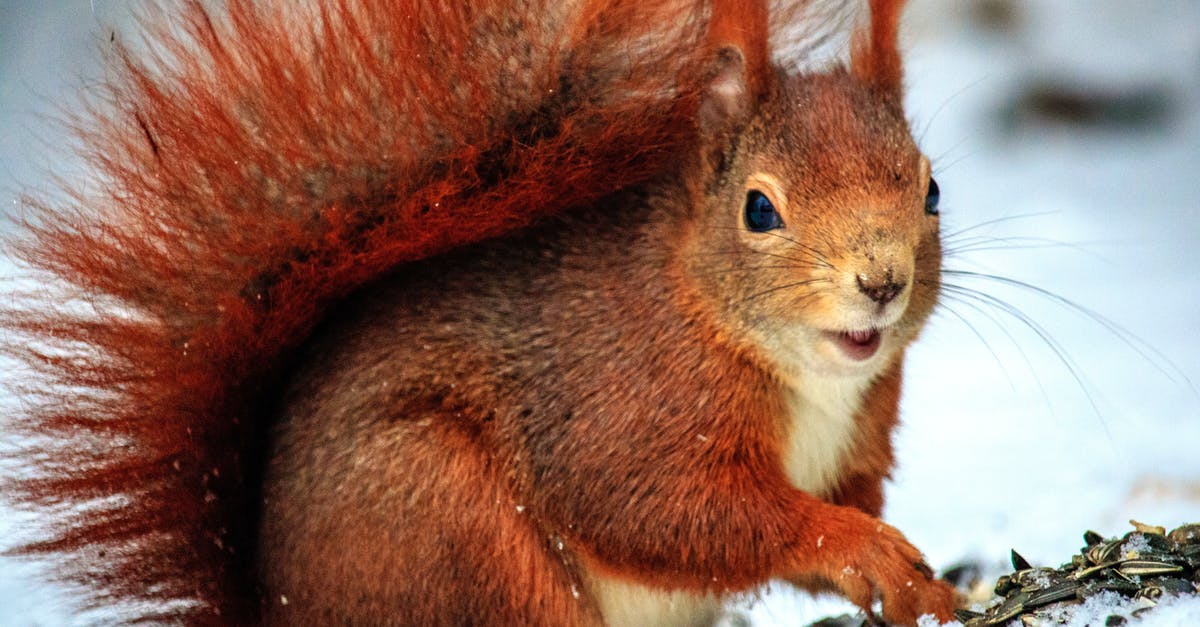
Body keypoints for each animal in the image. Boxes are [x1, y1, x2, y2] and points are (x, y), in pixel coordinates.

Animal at [0, 0, 955, 619]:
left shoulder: (859, 438)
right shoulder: (621, 407)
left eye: (932, 189)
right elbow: (667, 512)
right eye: (759, 209)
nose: (882, 281)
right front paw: (857, 545)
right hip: (453, 528)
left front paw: (921, 581)